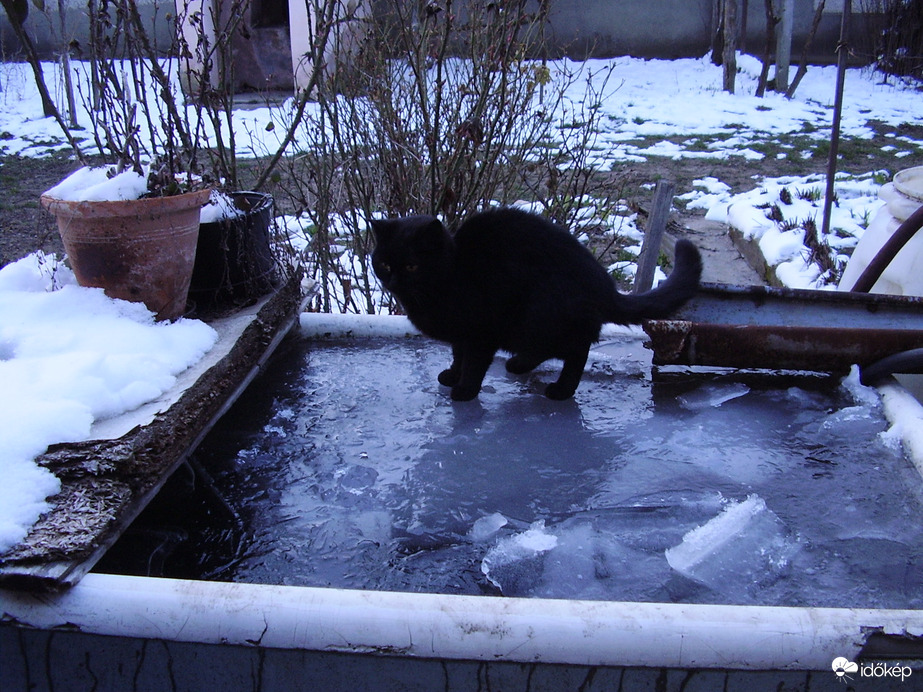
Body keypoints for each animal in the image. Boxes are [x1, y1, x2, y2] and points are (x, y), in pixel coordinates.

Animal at [368, 207, 700, 400]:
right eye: (384, 264)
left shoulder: (481, 331)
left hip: (540, 313)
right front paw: (452, 374)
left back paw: (561, 389)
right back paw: (519, 364)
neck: (450, 274)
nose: (392, 282)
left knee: (577, 349)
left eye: (411, 266)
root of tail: (605, 287)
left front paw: (465, 389)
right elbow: (458, 354)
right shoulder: (461, 334)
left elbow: (473, 362)